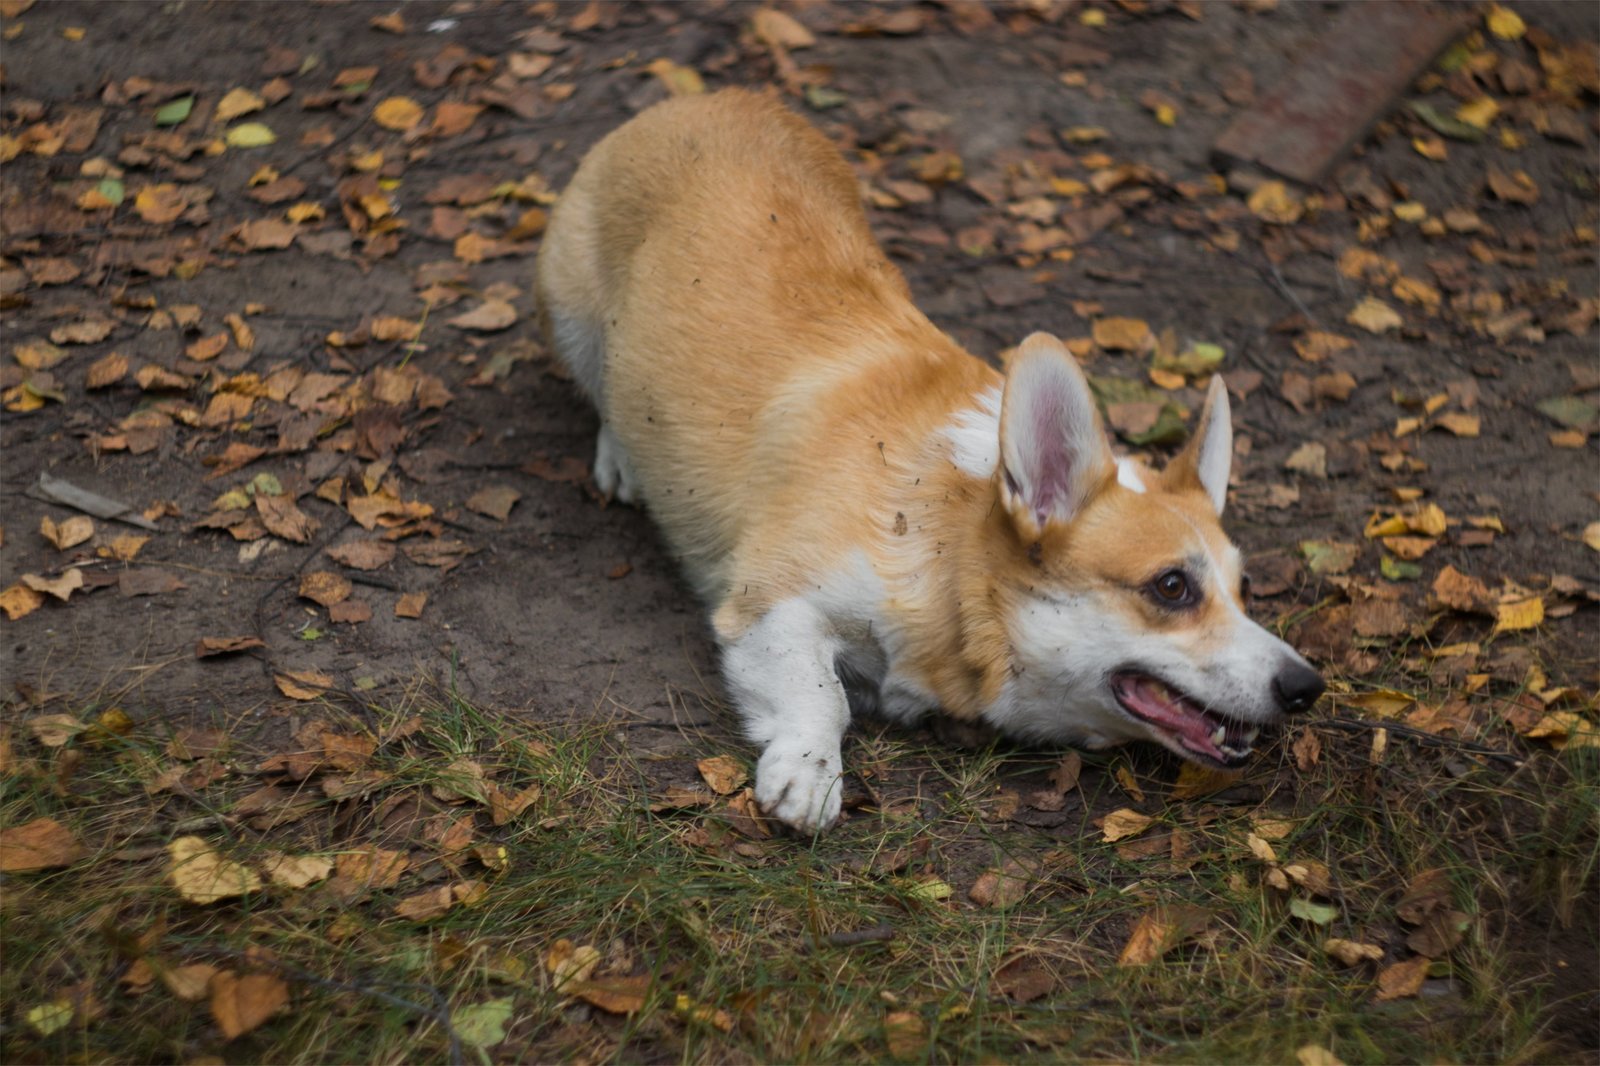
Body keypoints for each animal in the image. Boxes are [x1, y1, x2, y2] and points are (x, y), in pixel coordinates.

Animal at [537, 89, 1324, 832]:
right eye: (1171, 587)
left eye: (1244, 590)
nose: (1307, 688)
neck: (948, 553)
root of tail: (708, 98)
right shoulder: (768, 603)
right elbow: (822, 694)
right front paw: (808, 773)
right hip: (573, 314)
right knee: (603, 391)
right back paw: (621, 456)